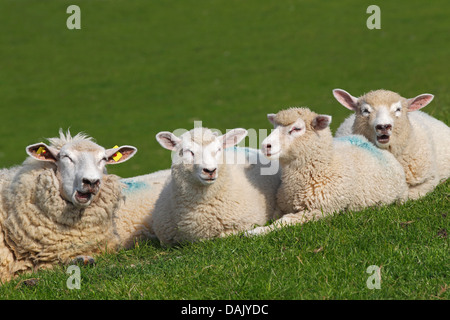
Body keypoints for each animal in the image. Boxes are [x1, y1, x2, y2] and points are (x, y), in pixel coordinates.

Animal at [246, 107, 408, 235]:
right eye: (275, 127)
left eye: (296, 129)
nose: (265, 145)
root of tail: (371, 144)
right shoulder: (282, 206)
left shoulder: (321, 210)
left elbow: (286, 220)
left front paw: (257, 231)